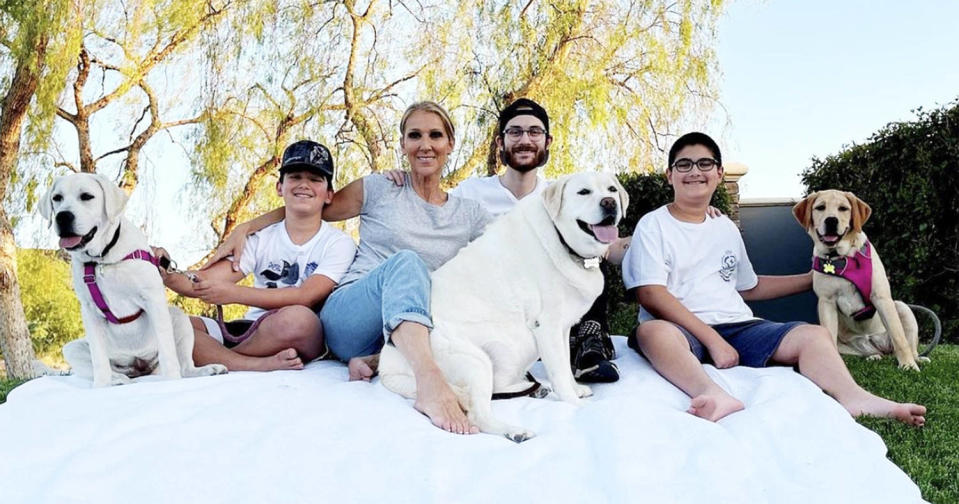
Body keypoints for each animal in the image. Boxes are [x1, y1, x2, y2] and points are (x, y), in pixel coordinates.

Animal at [40, 173, 228, 386]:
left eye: (87, 196)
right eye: (57, 198)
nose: (62, 216)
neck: (103, 258)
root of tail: (140, 366)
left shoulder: (152, 298)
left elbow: (168, 351)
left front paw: (172, 381)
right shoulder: (89, 310)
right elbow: (98, 359)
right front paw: (101, 386)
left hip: (179, 318)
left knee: (184, 366)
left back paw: (207, 370)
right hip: (71, 349)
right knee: (106, 368)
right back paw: (118, 380)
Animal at [378, 172, 632, 440]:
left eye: (611, 190)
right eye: (583, 192)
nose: (609, 203)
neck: (562, 240)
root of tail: (387, 367)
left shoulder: (561, 328)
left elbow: (563, 363)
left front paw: (576, 389)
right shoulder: (548, 326)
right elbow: (560, 371)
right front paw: (575, 403)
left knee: (497, 388)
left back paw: (533, 388)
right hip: (476, 361)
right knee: (479, 415)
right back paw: (515, 430)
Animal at [792, 189, 928, 370]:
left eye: (843, 208)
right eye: (820, 207)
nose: (831, 220)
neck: (841, 258)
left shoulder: (881, 298)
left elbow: (899, 337)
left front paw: (908, 365)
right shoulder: (826, 302)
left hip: (902, 307)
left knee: (908, 344)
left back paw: (917, 359)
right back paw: (873, 356)